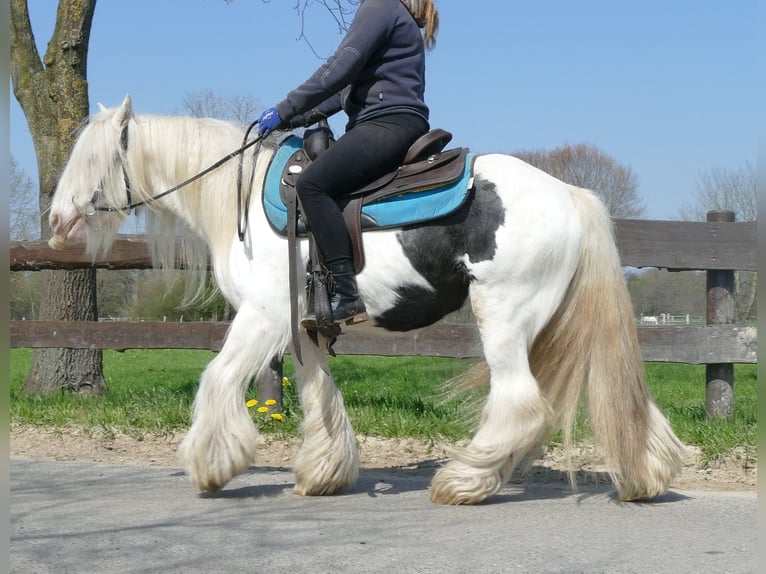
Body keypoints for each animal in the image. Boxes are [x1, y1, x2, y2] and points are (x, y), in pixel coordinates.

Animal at [48, 97, 688, 506]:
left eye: (91, 157)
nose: (55, 221)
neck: (242, 202)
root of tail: (571, 194)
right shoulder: (304, 327)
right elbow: (319, 395)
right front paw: (324, 473)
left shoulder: (262, 317)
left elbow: (218, 378)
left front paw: (212, 465)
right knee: (618, 393)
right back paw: (647, 476)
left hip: (504, 319)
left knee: (520, 405)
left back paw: (463, 483)